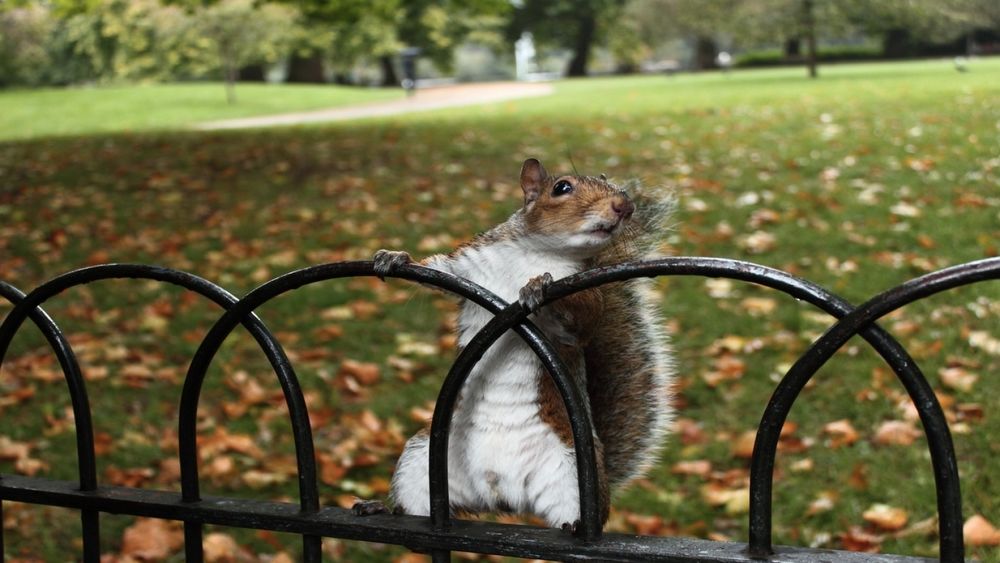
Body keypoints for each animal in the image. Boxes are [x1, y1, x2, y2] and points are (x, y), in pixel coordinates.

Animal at [354, 158, 675, 530]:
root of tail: (501, 496)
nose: (624, 205)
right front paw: (395, 257)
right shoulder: (467, 264)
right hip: (419, 461)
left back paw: (576, 527)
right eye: (561, 188)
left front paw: (540, 283)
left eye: (610, 183)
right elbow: (436, 269)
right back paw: (378, 507)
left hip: (573, 473)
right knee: (415, 510)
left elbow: (580, 321)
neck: (538, 252)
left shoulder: (584, 300)